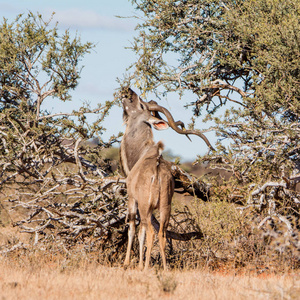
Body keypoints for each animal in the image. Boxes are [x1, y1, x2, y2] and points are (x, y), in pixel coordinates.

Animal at [119, 86, 213, 270]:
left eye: (141, 104)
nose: (128, 91)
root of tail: (156, 171)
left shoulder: (133, 199)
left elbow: (133, 229)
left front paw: (129, 264)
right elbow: (142, 232)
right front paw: (140, 264)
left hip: (146, 207)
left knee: (150, 232)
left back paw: (147, 267)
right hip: (164, 208)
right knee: (161, 234)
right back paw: (165, 267)